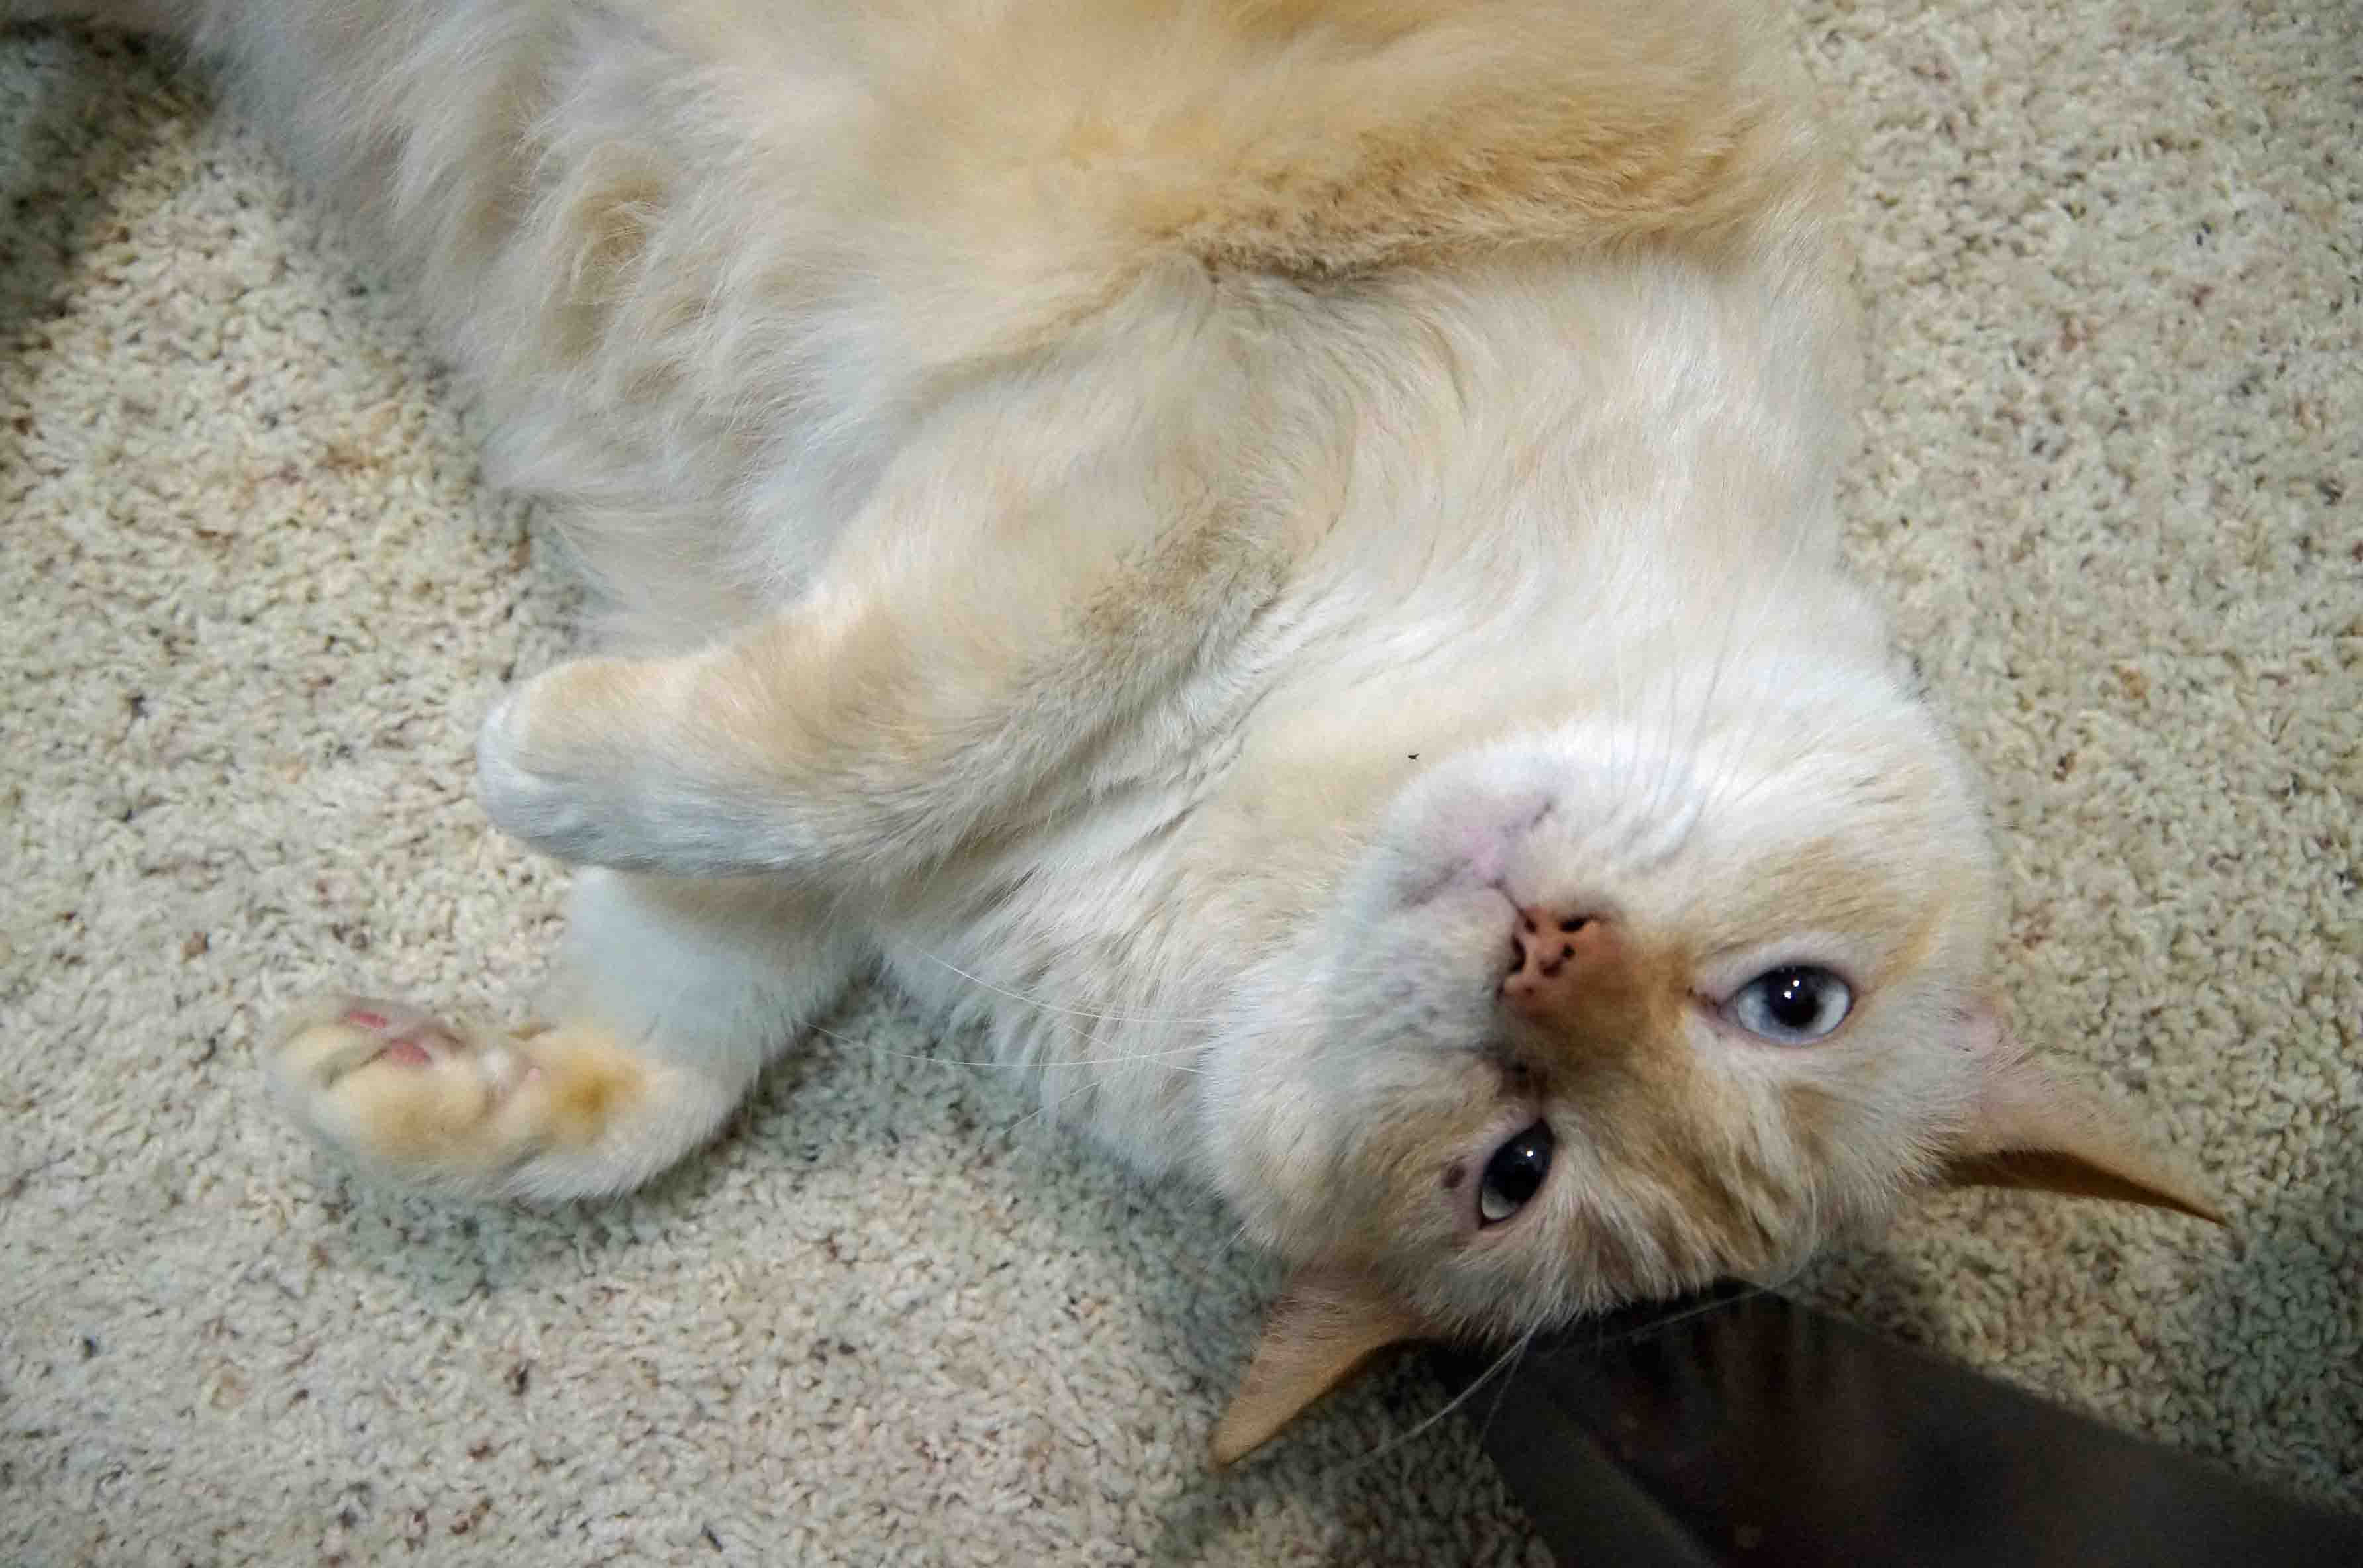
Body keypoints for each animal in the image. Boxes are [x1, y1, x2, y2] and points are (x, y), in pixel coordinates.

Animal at [12, 0, 2222, 1463]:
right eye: (1793, 1001)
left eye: (1515, 1175)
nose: (1549, 955)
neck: (1245, 826)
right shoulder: (1187, 418)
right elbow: (896, 730)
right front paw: (525, 754)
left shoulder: (807, 686)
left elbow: (680, 1012)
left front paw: (442, 1067)